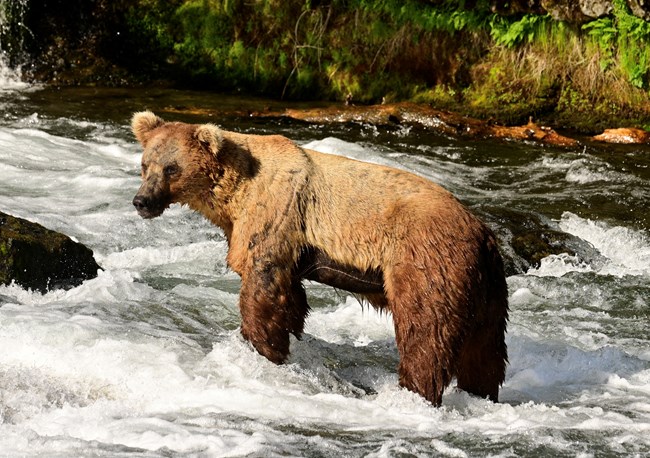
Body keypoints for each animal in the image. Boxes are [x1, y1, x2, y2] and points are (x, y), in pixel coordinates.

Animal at [131, 111, 509, 406]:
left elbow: (261, 286)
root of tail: (483, 233)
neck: (234, 195)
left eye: (171, 168)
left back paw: (415, 391)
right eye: (145, 165)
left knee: (426, 330)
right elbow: (290, 298)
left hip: (427, 258)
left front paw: (261, 348)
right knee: (485, 349)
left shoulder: (276, 213)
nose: (141, 201)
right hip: (486, 285)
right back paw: (481, 392)